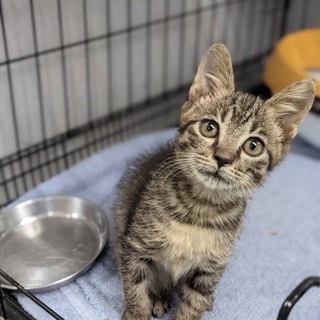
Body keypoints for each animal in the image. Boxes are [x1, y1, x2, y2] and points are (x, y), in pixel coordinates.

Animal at [114, 43, 316, 320]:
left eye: (254, 146)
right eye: (209, 128)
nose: (223, 158)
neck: (201, 208)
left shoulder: (209, 270)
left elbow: (194, 303)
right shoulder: (135, 247)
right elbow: (136, 290)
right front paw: (138, 310)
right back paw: (161, 295)